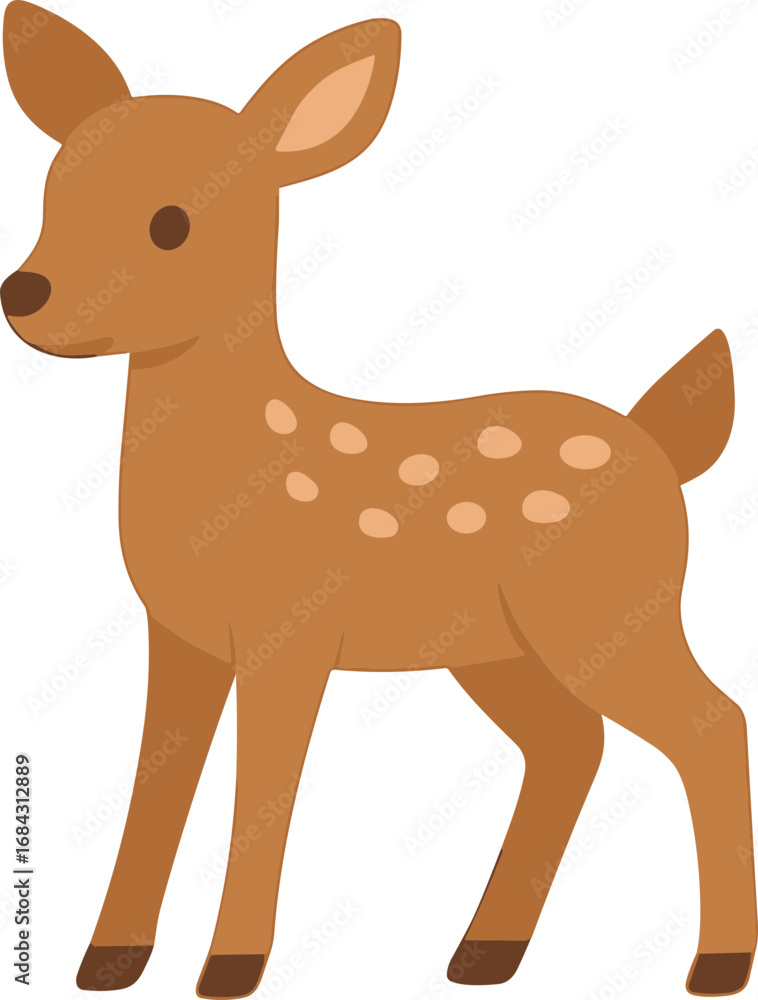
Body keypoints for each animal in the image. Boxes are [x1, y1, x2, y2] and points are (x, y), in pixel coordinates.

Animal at [2, 2, 755, 997]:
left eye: (171, 223)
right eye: (52, 190)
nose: (23, 294)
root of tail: (664, 447)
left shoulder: (290, 630)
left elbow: (265, 787)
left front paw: (230, 967)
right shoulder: (181, 636)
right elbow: (158, 784)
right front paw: (107, 961)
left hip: (609, 614)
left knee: (712, 724)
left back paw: (716, 964)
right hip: (498, 648)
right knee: (571, 745)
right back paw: (483, 953)